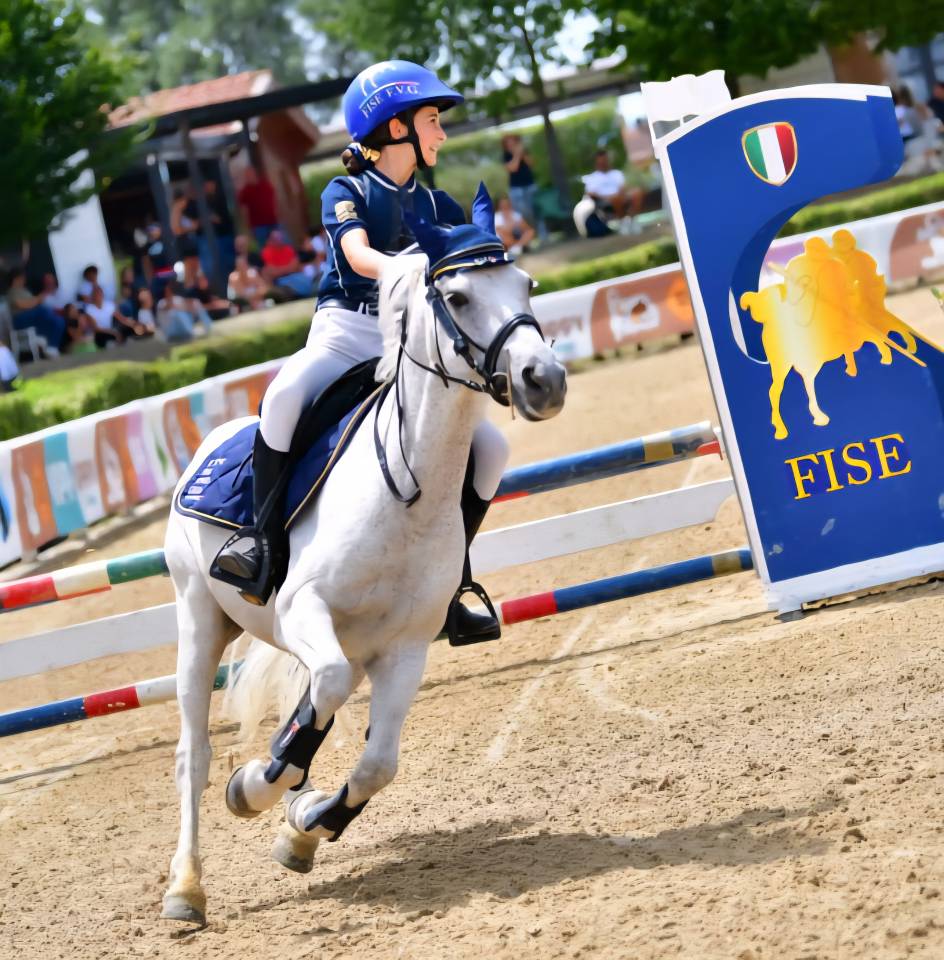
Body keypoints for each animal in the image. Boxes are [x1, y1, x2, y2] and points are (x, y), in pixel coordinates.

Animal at [159, 207, 567, 926]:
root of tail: (210, 442)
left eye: (525, 284)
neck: (405, 492)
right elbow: (315, 703)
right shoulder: (303, 610)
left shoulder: (405, 647)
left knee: (322, 702)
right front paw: (257, 787)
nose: (543, 380)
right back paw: (187, 887)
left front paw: (305, 825)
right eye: (458, 297)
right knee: (196, 754)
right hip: (199, 618)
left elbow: (377, 762)